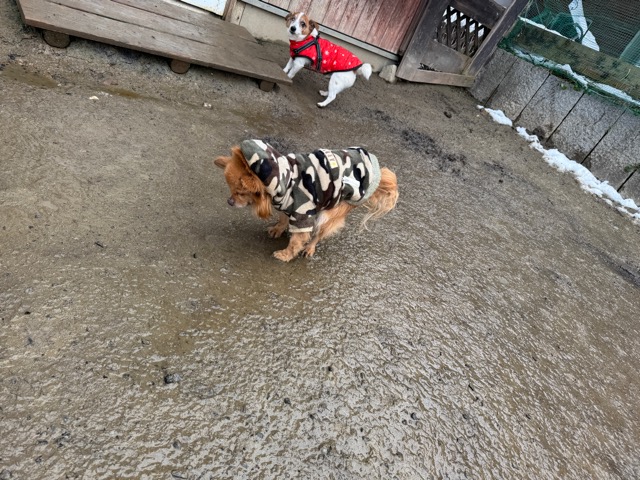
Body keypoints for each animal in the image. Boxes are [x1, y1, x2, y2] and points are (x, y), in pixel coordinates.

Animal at [215, 140, 398, 262]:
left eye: (240, 193)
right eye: (231, 191)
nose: (229, 201)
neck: (286, 180)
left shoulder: (302, 214)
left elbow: (297, 240)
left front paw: (285, 255)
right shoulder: (286, 206)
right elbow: (283, 219)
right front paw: (278, 229)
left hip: (329, 213)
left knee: (318, 233)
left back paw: (309, 248)